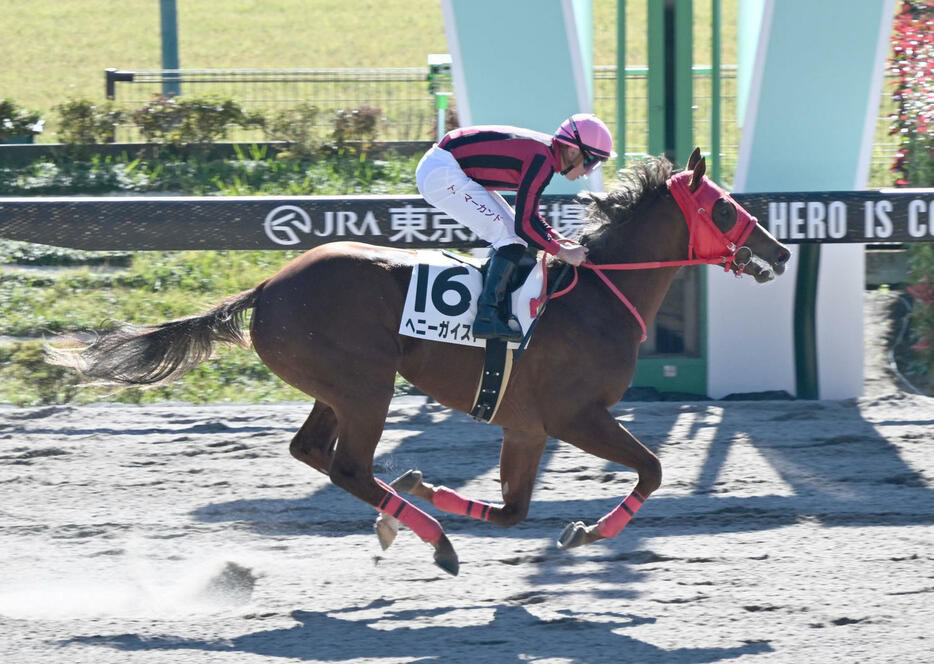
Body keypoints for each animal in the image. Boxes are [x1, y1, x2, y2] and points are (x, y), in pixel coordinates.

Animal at [45, 148, 788, 572]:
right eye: (725, 209)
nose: (778, 250)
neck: (598, 294)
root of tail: (268, 286)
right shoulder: (575, 415)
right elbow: (653, 469)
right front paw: (584, 533)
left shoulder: (526, 426)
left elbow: (513, 511)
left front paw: (425, 488)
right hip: (365, 385)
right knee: (345, 464)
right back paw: (434, 541)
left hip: (338, 386)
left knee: (313, 451)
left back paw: (405, 516)